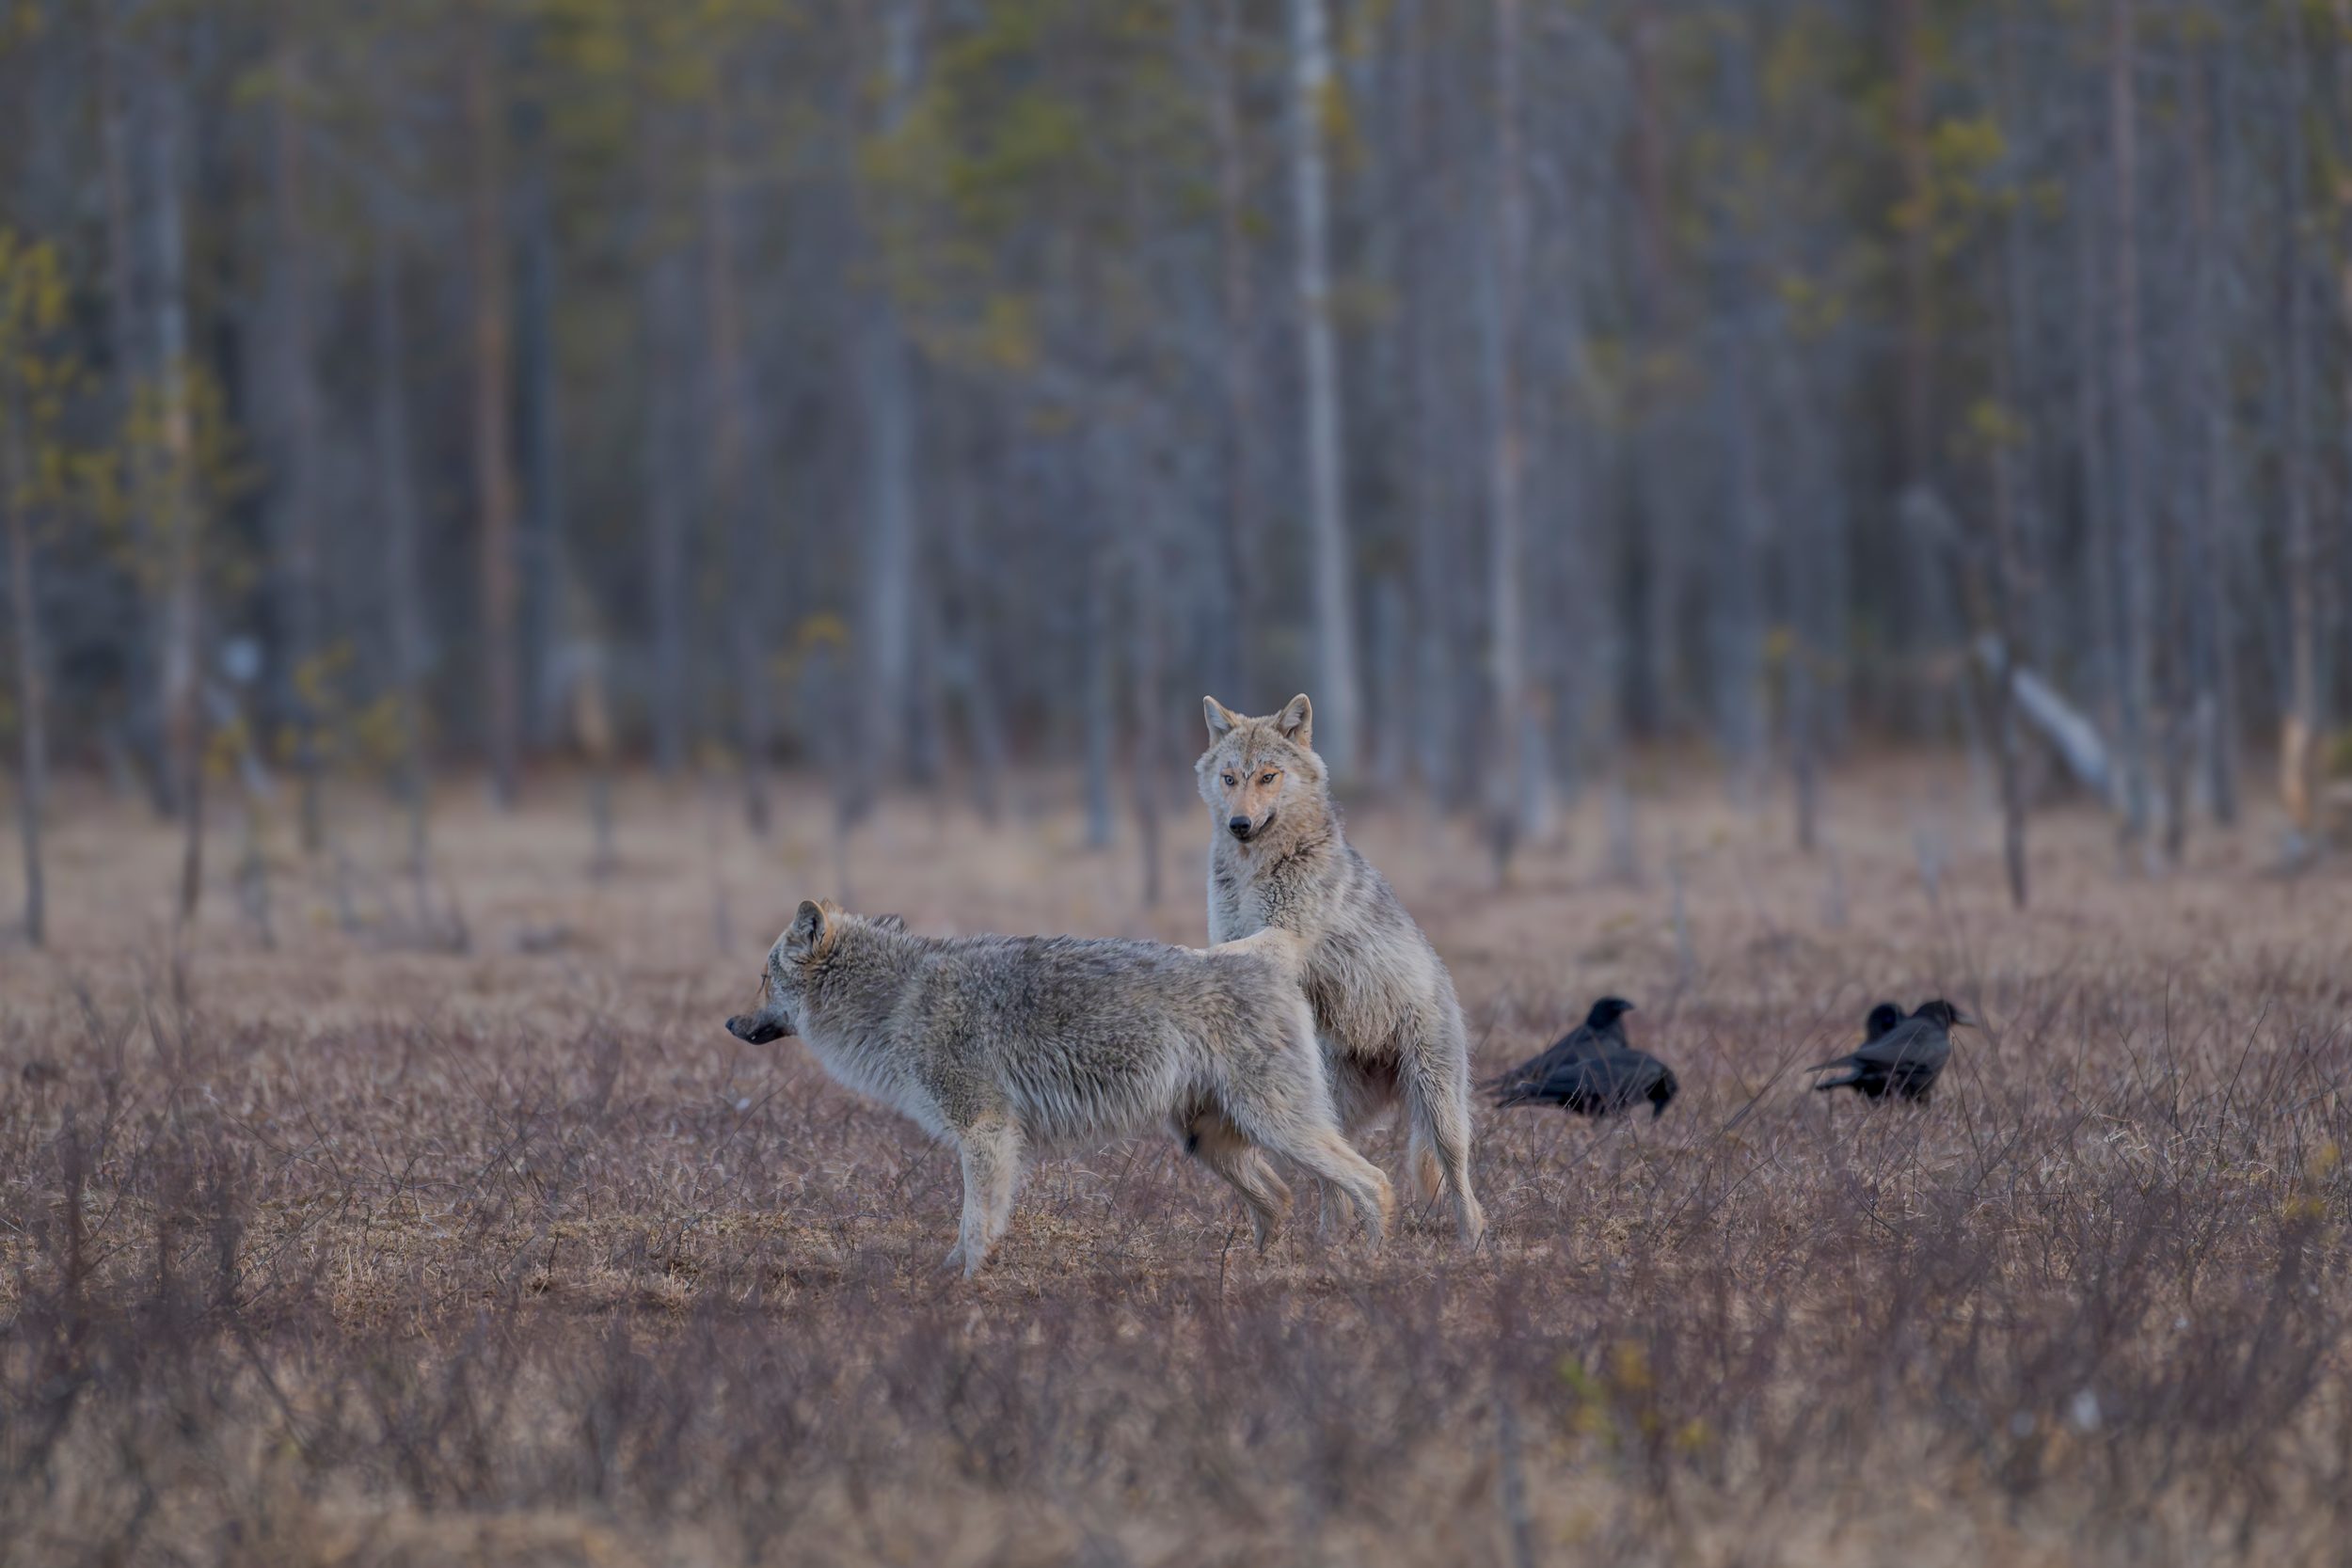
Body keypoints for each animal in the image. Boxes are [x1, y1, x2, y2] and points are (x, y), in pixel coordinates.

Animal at [725, 899, 1395, 1275]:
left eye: (763, 978)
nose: (729, 1025)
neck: (894, 1001)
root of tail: (1265, 956)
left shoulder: (985, 1132)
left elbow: (975, 1222)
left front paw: (963, 1282)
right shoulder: (994, 1139)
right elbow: (979, 1221)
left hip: (1275, 1127)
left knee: (1374, 1182)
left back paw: (1374, 1266)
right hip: (1208, 1143)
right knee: (1279, 1199)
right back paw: (1256, 1275)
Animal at [1197, 694, 1487, 1246]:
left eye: (1267, 777)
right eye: (1230, 778)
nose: (1238, 824)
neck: (1253, 869)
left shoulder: (1283, 938)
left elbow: (1221, 953)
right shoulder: (1232, 933)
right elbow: (1224, 952)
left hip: (1440, 1113)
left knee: (1464, 1190)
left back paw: (1473, 1247)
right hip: (1330, 1111)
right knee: (1338, 1185)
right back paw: (1330, 1246)